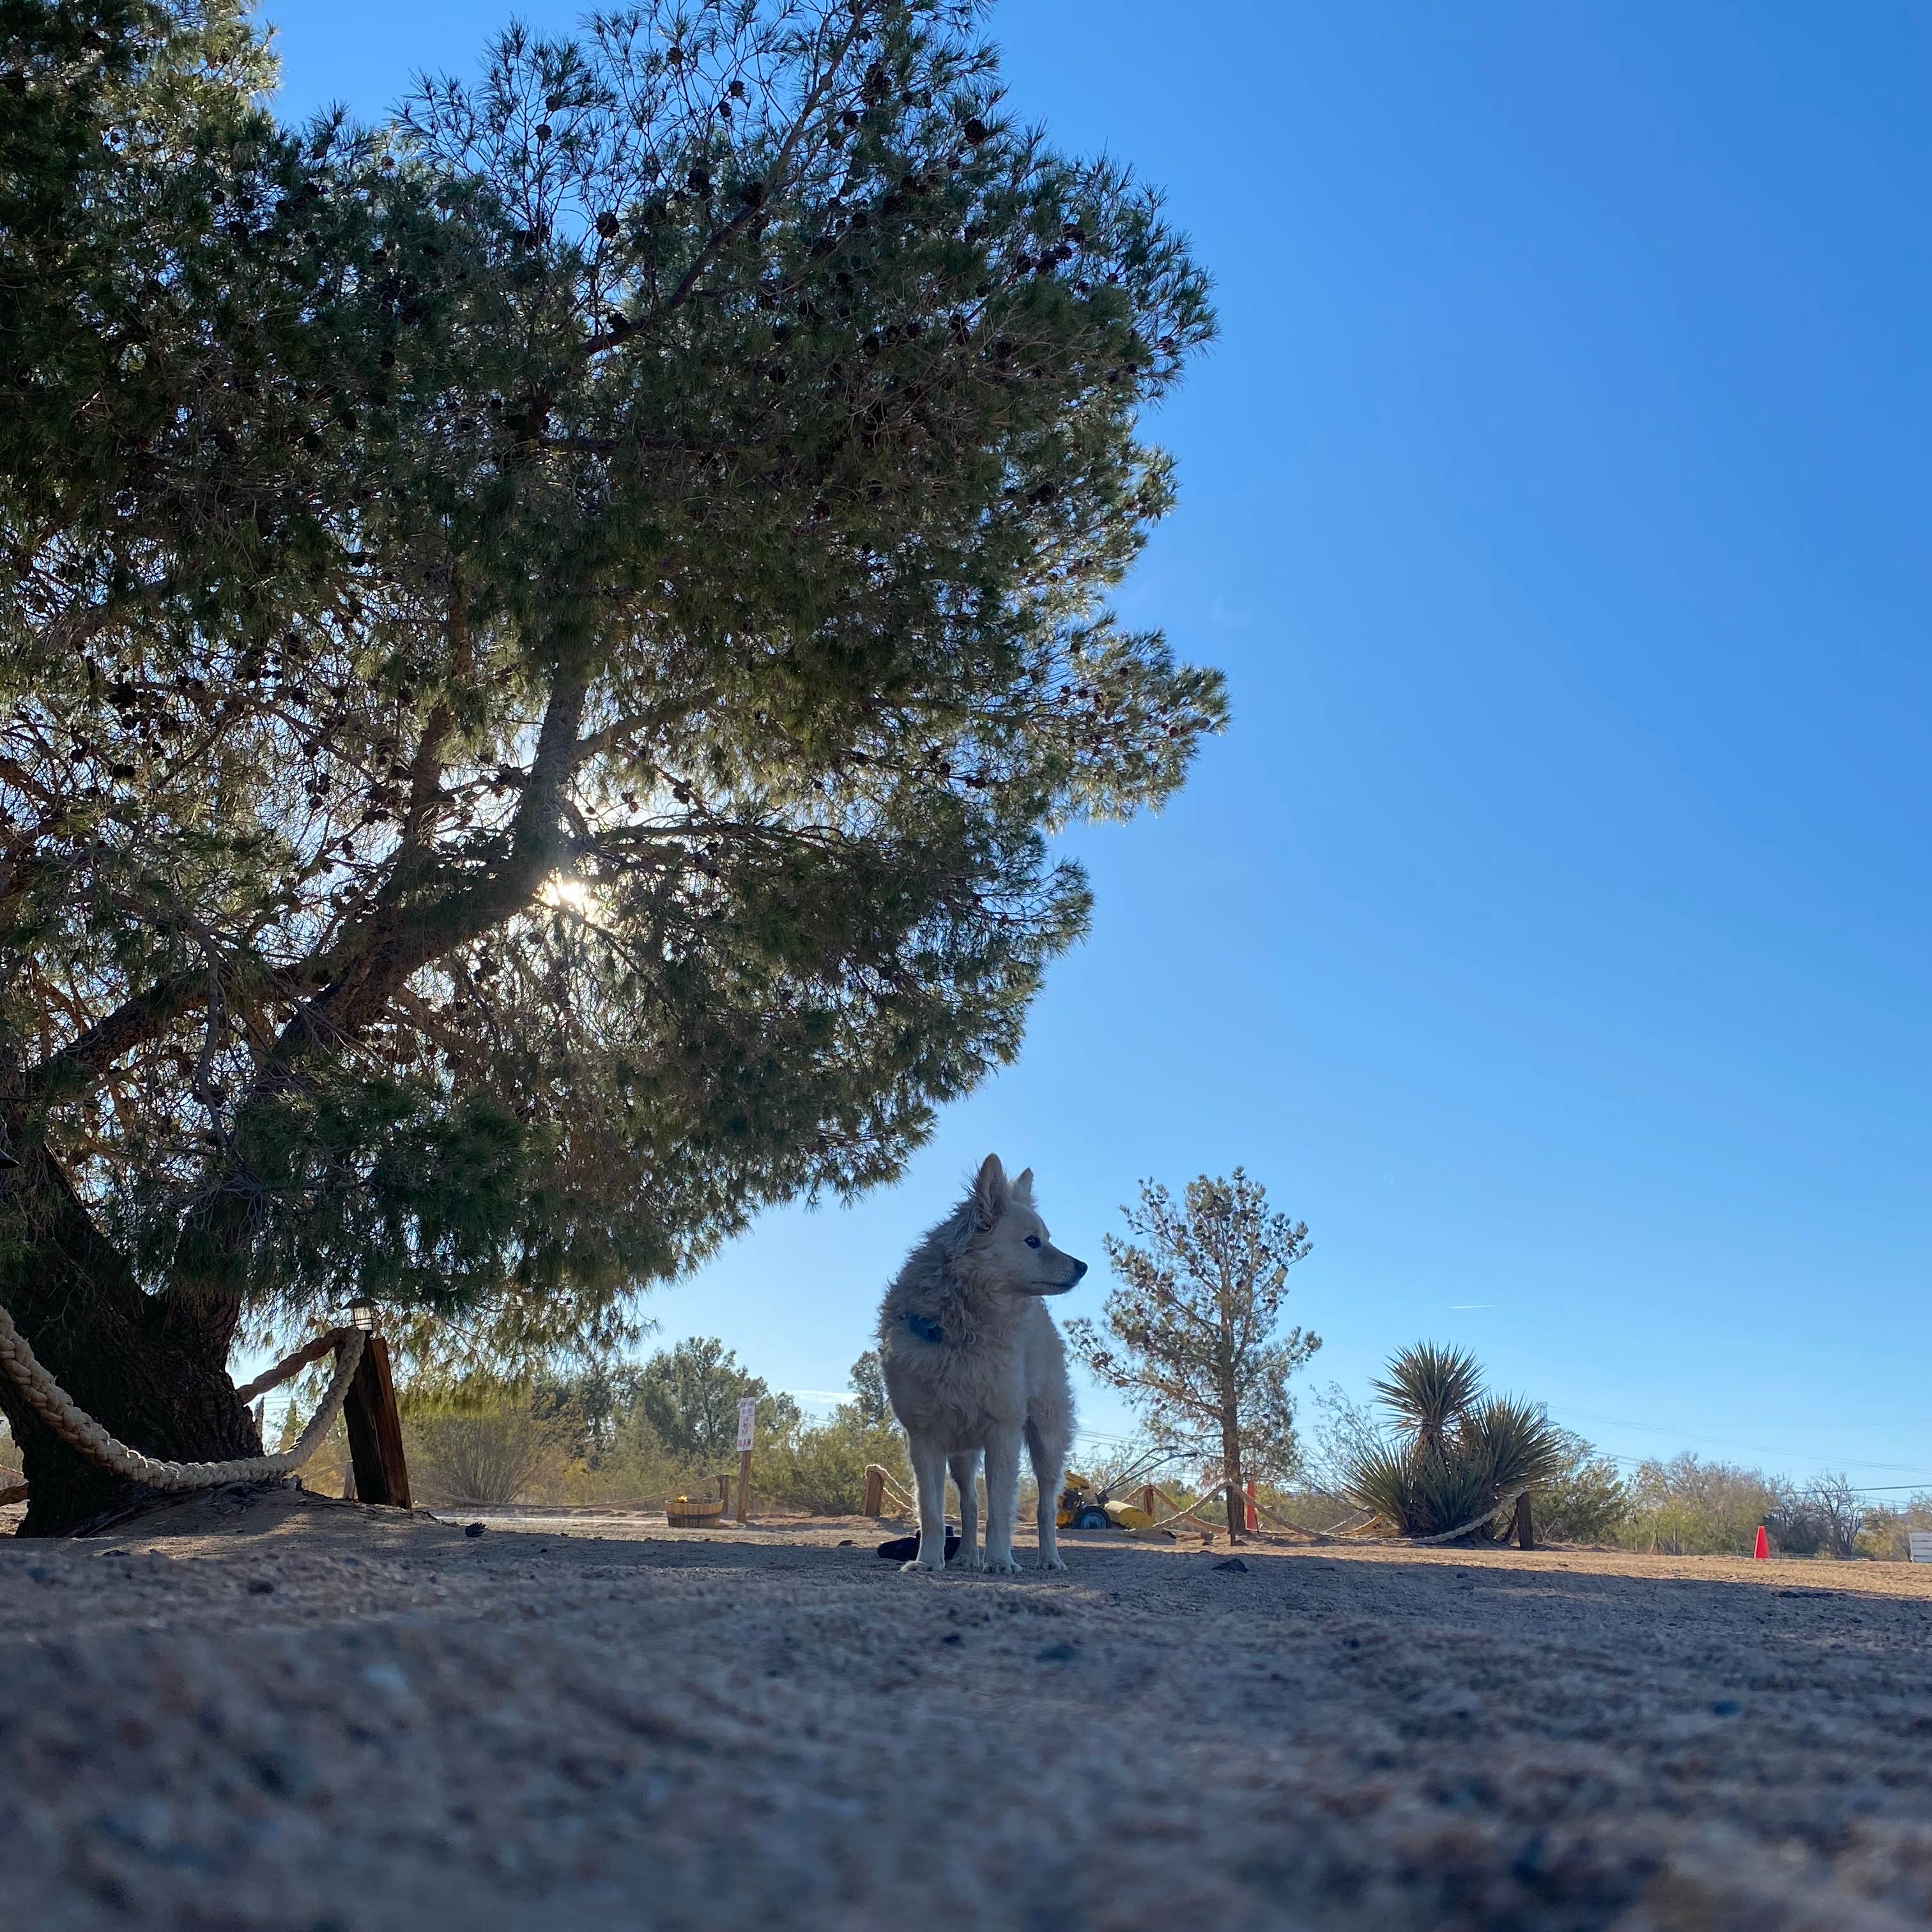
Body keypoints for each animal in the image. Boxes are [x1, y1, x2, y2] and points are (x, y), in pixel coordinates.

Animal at [880, 1144, 1089, 1568]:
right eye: (1032, 1241)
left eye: (1046, 1238)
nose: (1083, 1267)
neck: (961, 1329)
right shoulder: (924, 1439)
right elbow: (932, 1511)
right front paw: (928, 1561)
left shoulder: (1004, 1433)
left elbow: (1000, 1510)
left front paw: (1000, 1561)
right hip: (962, 1453)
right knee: (969, 1501)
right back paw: (964, 1557)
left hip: (1047, 1439)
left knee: (1045, 1506)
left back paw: (1048, 1558)